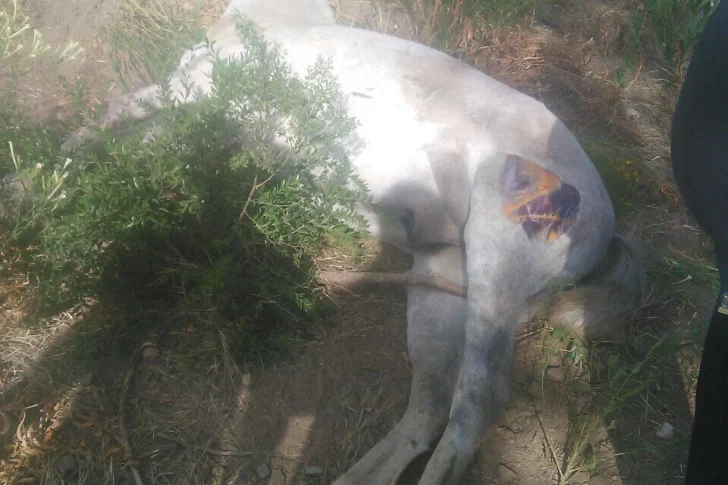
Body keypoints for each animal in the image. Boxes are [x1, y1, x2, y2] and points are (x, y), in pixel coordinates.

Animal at [61, 1, 647, 484]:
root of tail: (604, 228)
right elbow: (139, 139)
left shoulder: (201, 87)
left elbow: (117, 114)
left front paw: (56, 173)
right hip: (441, 285)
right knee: (431, 406)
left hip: (495, 254)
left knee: (476, 405)